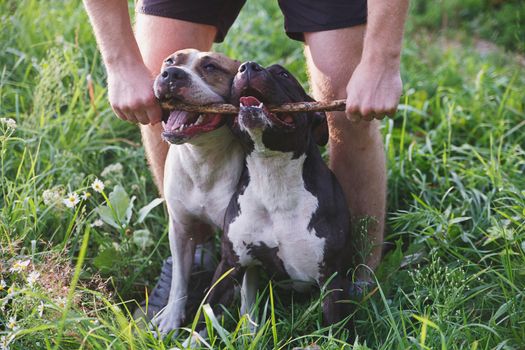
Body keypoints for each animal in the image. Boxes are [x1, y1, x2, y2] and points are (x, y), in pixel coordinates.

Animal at [149, 48, 244, 334]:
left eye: (211, 67)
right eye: (170, 61)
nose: (172, 74)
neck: (203, 159)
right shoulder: (180, 229)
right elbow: (180, 279)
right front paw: (170, 319)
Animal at [206, 60, 352, 326]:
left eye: (283, 74)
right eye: (237, 73)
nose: (248, 66)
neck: (273, 176)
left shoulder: (332, 278)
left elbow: (334, 326)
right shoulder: (231, 265)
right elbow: (206, 314)